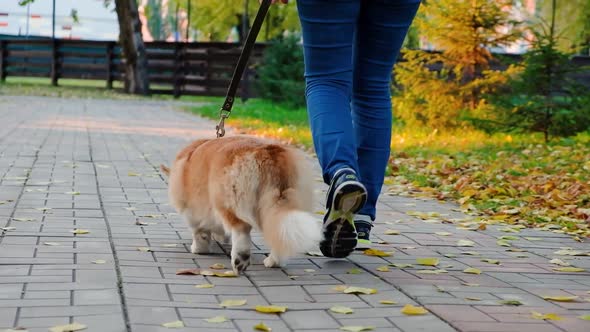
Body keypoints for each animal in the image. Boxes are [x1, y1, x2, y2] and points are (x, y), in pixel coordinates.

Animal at [162, 136, 324, 274]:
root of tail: (268, 152)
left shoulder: (193, 211)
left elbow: (199, 231)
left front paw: (199, 249)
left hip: (225, 200)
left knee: (241, 228)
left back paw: (241, 258)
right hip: (282, 205)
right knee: (280, 234)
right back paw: (273, 262)